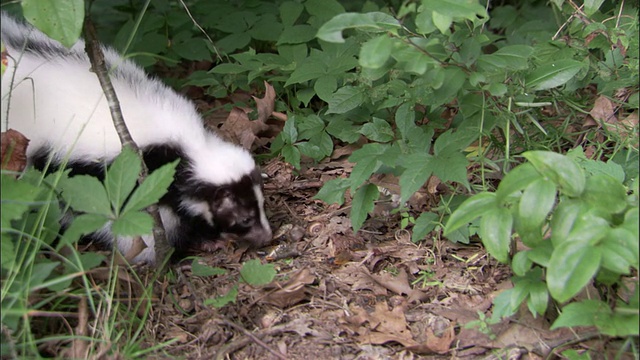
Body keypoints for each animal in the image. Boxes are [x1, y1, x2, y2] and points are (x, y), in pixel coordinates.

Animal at [0, 12, 272, 262]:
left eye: (262, 205)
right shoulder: (134, 173)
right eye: (245, 219)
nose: (266, 237)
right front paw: (182, 247)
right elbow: (146, 223)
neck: (192, 148)